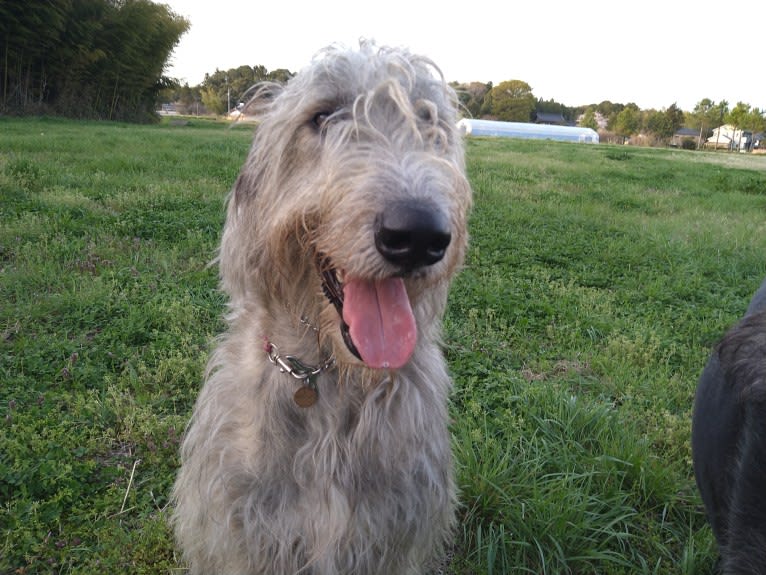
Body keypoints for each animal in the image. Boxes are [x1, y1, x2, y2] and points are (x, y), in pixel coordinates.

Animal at [174, 41, 474, 575]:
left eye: (428, 119)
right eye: (322, 116)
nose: (418, 235)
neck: (328, 375)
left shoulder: (398, 535)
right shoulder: (241, 532)